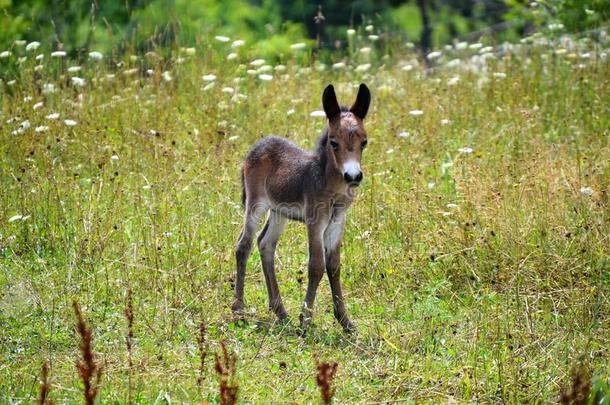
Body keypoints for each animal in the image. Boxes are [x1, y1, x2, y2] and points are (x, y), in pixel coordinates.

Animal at [230, 83, 368, 332]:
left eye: (364, 142)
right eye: (334, 142)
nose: (353, 176)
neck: (330, 186)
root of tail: (257, 146)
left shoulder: (337, 222)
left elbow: (334, 266)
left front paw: (345, 321)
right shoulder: (315, 221)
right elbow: (316, 266)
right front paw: (306, 320)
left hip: (278, 212)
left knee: (265, 244)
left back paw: (280, 312)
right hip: (256, 204)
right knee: (243, 245)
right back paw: (239, 309)